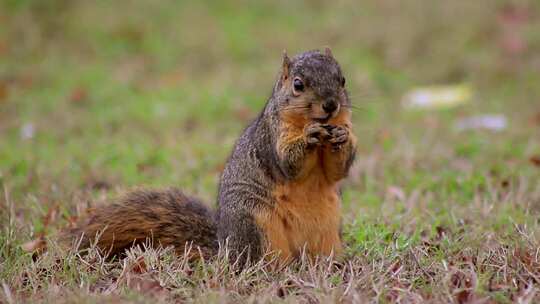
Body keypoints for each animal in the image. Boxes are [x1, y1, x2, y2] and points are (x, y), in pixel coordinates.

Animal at [61, 48, 356, 268]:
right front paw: (309, 135)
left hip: (329, 227)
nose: (331, 105)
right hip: (255, 223)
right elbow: (288, 164)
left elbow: (337, 171)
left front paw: (343, 137)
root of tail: (225, 248)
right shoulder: (272, 137)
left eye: (342, 79)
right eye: (298, 85)